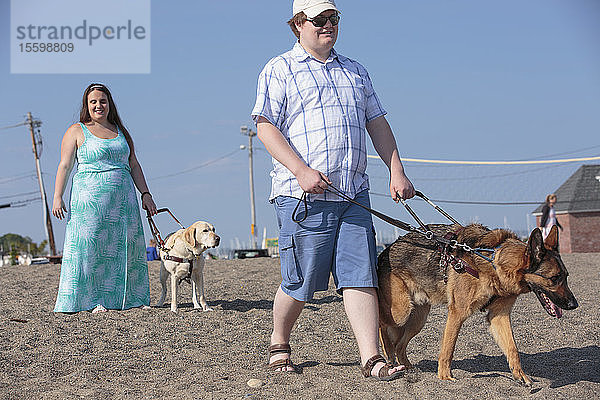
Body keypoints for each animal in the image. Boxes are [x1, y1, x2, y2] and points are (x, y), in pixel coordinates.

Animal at [378, 225, 580, 384]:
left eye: (566, 276)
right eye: (555, 278)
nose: (574, 304)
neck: (495, 262)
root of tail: (384, 251)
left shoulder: (499, 316)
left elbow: (513, 349)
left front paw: (520, 375)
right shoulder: (457, 313)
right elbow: (448, 349)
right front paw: (444, 377)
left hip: (418, 319)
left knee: (399, 345)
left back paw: (407, 367)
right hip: (401, 311)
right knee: (381, 323)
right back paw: (387, 352)